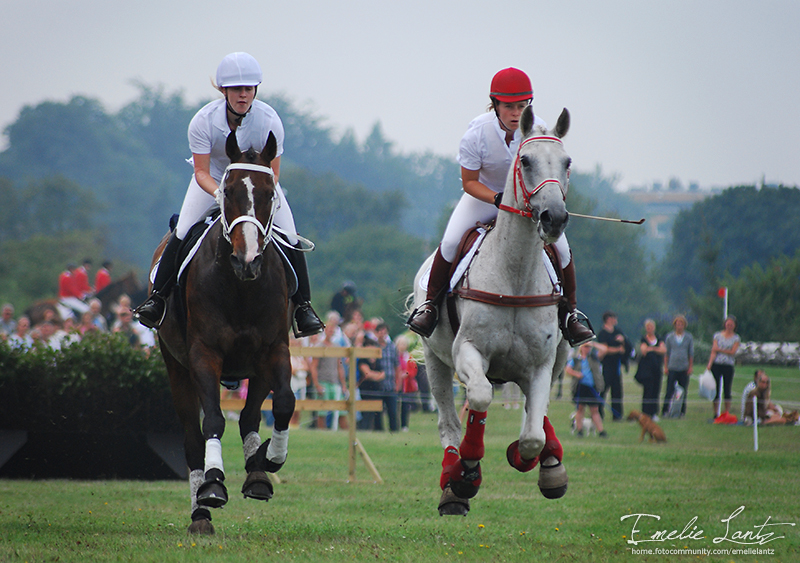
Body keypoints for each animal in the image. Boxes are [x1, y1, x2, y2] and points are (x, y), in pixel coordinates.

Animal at [153, 130, 294, 536]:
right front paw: (214, 485)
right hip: (176, 367)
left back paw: (258, 473)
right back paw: (200, 513)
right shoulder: (204, 354)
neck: (242, 287)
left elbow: (283, 403)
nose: (247, 261)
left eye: (269, 192)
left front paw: (270, 459)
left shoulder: (274, 349)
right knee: (191, 438)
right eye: (228, 191)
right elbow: (213, 421)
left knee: (249, 416)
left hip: (256, 369)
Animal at [412, 106, 576, 516]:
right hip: (436, 361)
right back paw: (453, 484)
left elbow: (533, 433)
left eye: (566, 162)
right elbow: (481, 399)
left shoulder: (540, 365)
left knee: (537, 415)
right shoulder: (467, 352)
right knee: (450, 422)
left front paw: (528, 458)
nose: (554, 218)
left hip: (561, 355)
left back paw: (551, 463)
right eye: (526, 160)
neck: (514, 275)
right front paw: (467, 472)